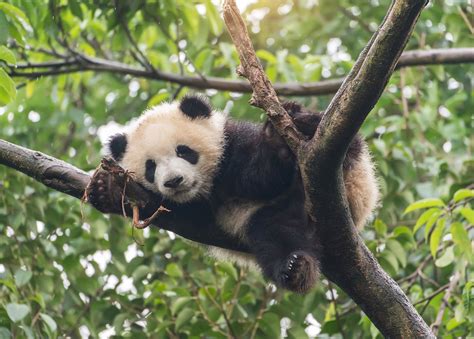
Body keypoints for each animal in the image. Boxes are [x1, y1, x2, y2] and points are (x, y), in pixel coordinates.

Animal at [88, 95, 378, 294]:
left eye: (184, 151)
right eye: (151, 167)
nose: (174, 181)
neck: (209, 184)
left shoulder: (233, 143)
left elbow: (263, 174)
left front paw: (276, 138)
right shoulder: (195, 211)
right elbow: (185, 214)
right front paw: (107, 188)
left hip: (349, 173)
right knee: (276, 231)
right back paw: (296, 268)